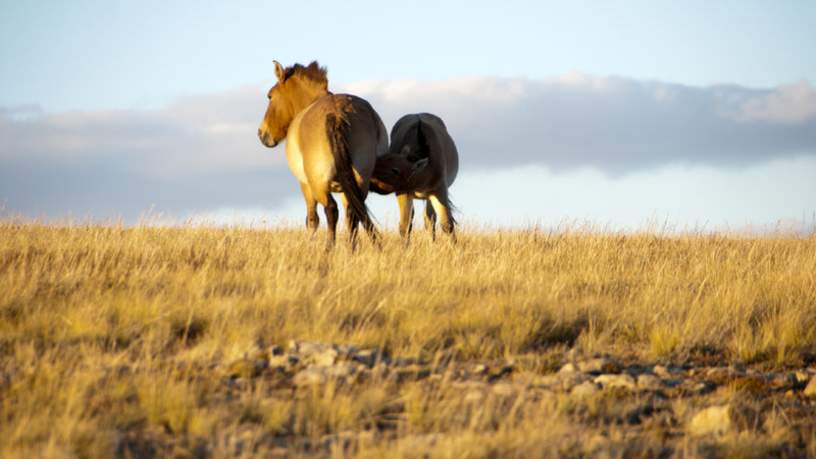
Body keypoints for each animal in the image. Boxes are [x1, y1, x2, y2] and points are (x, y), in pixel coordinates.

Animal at [262, 61, 388, 250]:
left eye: (270, 96)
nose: (262, 134)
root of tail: (337, 113)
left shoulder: (305, 185)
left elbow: (312, 220)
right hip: (360, 181)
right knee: (353, 212)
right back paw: (351, 249)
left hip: (318, 184)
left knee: (331, 209)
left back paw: (329, 248)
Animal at [372, 113, 460, 241]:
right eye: (384, 158)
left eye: (395, 170)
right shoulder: (404, 193)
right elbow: (404, 226)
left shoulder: (439, 190)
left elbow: (447, 225)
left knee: (429, 220)